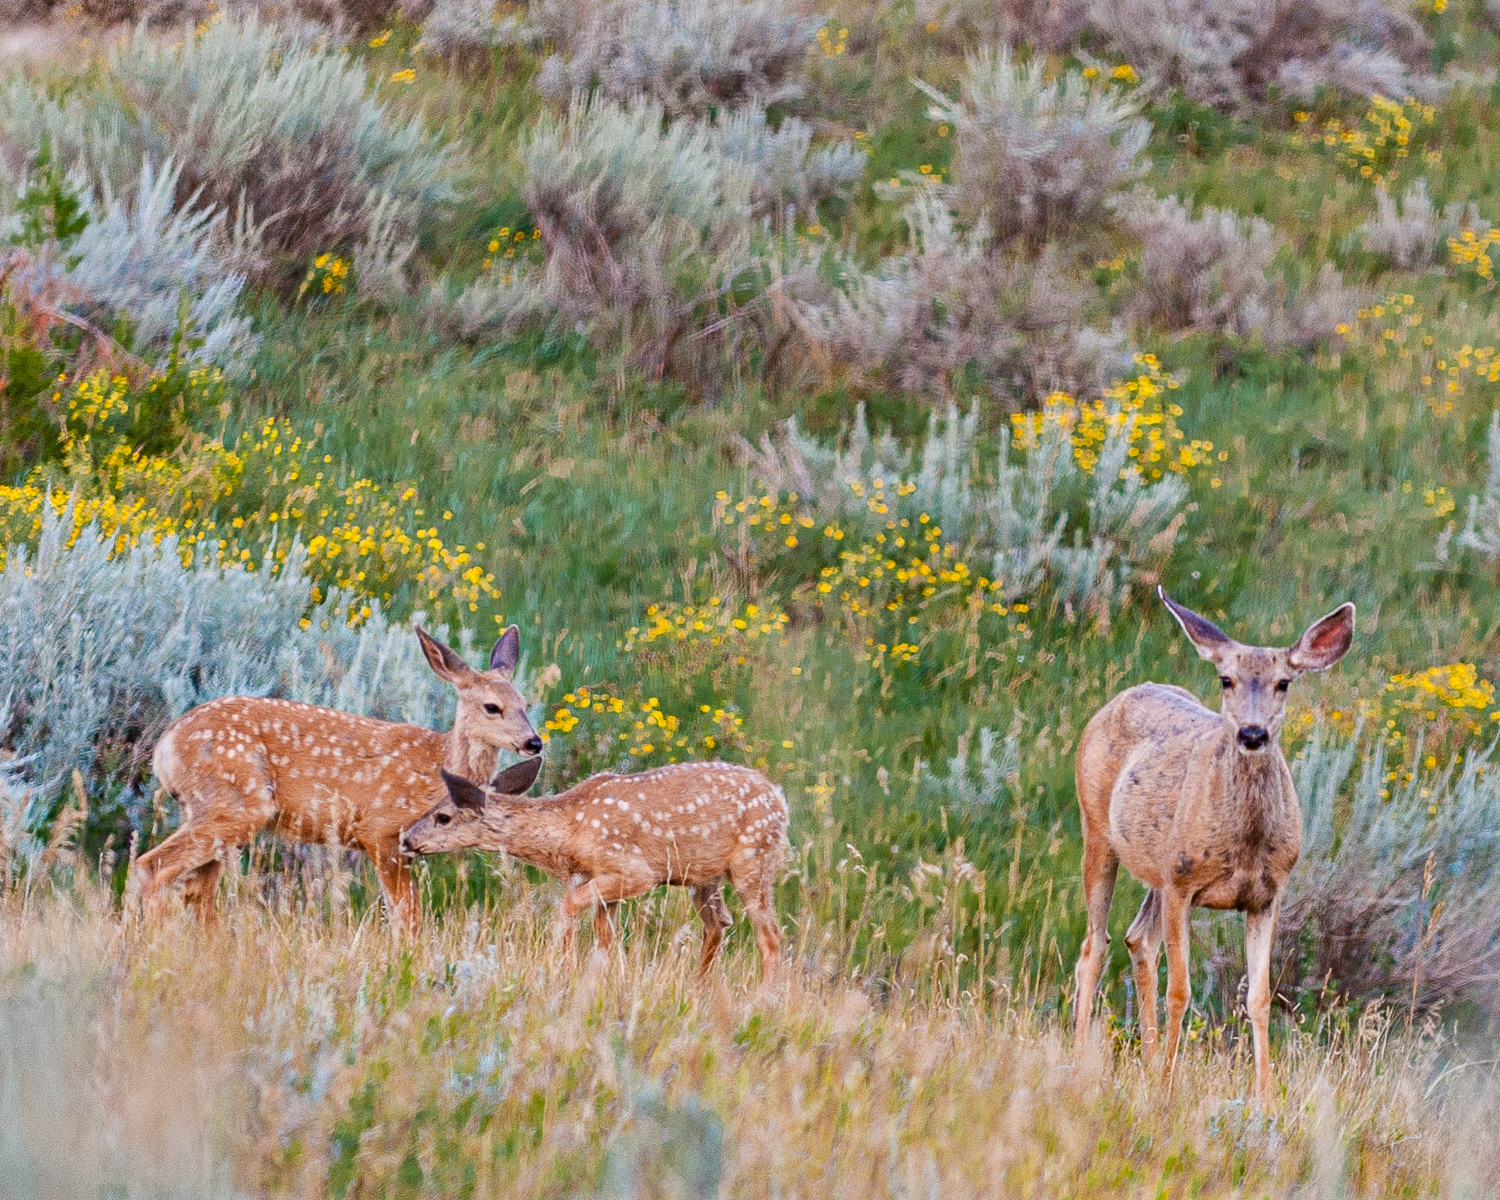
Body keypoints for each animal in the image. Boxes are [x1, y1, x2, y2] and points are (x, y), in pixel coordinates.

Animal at [135, 625, 544, 930]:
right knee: (152, 866)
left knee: (197, 892)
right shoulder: (381, 829)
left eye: (525, 704)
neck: (437, 769)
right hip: (236, 806)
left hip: (216, 814)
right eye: (492, 707)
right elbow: (408, 914)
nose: (534, 741)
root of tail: (165, 747)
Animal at [400, 756, 789, 985]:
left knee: (769, 935)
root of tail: (781, 801)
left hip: (753, 861)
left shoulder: (633, 871)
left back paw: (764, 998)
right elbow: (605, 936)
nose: (405, 839)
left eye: (443, 817)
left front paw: (567, 970)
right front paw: (603, 981)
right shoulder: (603, 883)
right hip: (704, 878)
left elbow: (567, 905)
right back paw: (698, 988)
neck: (571, 827)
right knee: (719, 924)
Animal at [1071, 587, 1355, 1106]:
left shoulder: (1267, 895)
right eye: (1226, 679)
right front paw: (1167, 1089)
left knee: (1137, 939)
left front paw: (1266, 1097)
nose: (1253, 733)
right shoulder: (1183, 885)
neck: (1243, 845)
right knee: (1094, 945)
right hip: (1098, 830)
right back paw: (1084, 1061)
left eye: (1284, 683)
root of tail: (1116, 700)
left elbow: (1259, 997)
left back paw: (1146, 1064)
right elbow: (1181, 991)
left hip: (1159, 869)